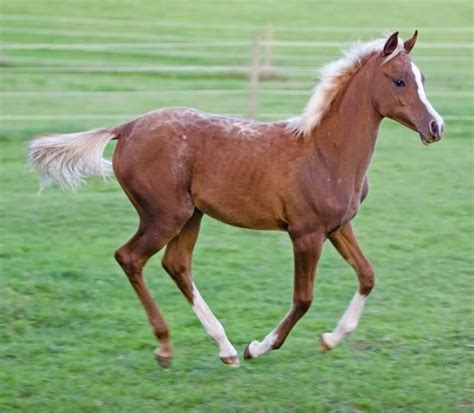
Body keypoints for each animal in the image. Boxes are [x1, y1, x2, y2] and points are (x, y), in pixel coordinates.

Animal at [29, 33, 444, 366]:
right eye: (399, 80)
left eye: (423, 79)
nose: (436, 127)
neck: (325, 151)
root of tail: (127, 127)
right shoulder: (306, 234)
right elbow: (303, 299)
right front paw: (259, 347)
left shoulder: (339, 227)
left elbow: (367, 275)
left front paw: (329, 340)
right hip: (165, 215)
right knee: (130, 257)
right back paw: (168, 347)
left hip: (191, 216)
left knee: (176, 265)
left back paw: (224, 348)